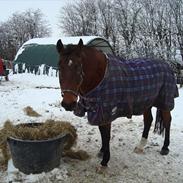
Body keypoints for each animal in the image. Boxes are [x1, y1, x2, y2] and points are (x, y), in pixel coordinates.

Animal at [56, 39, 179, 173]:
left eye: (78, 67)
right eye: (60, 67)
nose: (68, 103)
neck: (101, 77)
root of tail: (166, 64)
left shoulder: (106, 111)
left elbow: (106, 136)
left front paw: (104, 162)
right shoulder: (99, 112)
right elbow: (102, 133)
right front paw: (102, 152)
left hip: (164, 102)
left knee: (167, 121)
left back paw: (165, 147)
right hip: (147, 102)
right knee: (148, 120)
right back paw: (140, 146)